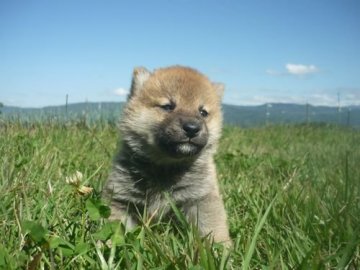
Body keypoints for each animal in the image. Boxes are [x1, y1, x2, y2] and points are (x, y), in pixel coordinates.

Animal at [102, 65, 231, 245]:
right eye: (168, 106)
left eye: (203, 112)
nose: (192, 128)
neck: (166, 167)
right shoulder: (121, 197)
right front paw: (108, 248)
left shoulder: (201, 198)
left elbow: (213, 228)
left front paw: (221, 250)